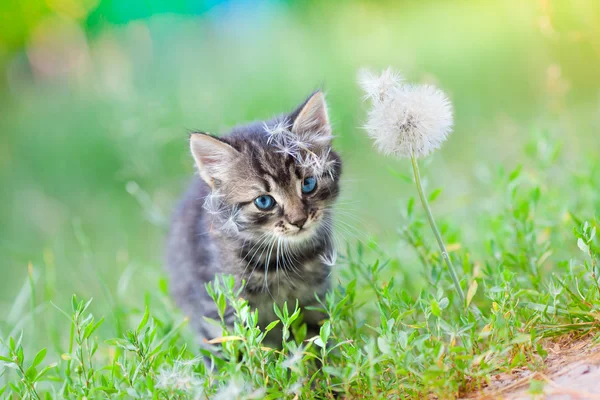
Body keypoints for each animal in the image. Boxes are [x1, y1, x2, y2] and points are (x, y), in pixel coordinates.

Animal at [165, 90, 342, 346]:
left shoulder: (312, 302)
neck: (283, 262)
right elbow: (237, 350)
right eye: (264, 201)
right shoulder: (219, 310)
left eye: (308, 184)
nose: (299, 220)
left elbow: (314, 342)